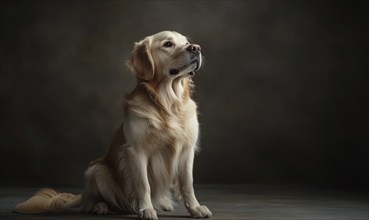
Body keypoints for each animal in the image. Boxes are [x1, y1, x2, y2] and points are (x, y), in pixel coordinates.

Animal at [14, 31, 211, 220]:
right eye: (168, 44)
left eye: (186, 42)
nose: (196, 48)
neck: (168, 103)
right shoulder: (136, 151)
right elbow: (143, 184)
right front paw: (146, 210)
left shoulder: (187, 149)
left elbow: (187, 184)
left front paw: (195, 208)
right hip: (97, 170)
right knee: (91, 201)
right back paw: (100, 207)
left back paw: (163, 204)